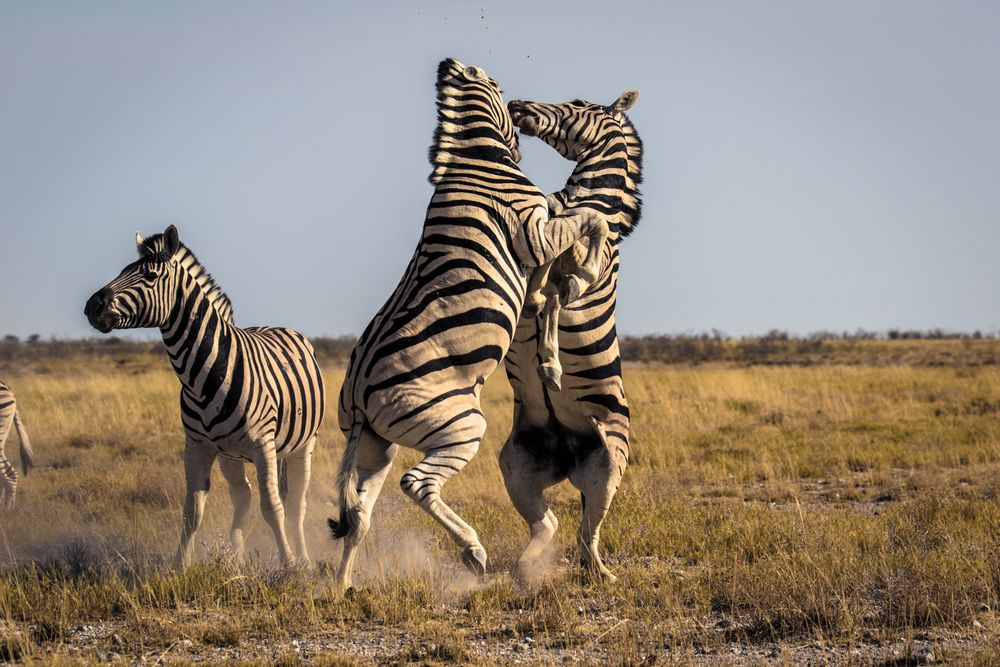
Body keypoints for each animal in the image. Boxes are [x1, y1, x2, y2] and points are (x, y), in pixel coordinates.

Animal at [84, 227, 324, 568]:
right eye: (122, 271)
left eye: (150, 276)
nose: (93, 306)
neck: (203, 376)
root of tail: (278, 325)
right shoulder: (197, 446)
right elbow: (192, 511)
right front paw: (178, 565)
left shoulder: (262, 444)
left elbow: (272, 507)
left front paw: (288, 564)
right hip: (229, 454)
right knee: (243, 496)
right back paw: (235, 557)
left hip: (303, 444)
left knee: (294, 503)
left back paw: (302, 556)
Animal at [328, 57, 608, 588]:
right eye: (501, 88)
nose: (521, 110)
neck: (476, 161)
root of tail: (355, 392)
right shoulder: (534, 229)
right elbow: (591, 222)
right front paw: (583, 274)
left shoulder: (536, 239)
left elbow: (545, 284)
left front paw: (549, 333)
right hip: (461, 424)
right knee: (417, 483)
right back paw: (473, 551)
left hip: (376, 444)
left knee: (360, 515)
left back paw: (343, 585)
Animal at [504, 90, 644, 584]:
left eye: (579, 102)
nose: (517, 104)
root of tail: (568, 455)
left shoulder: (582, 266)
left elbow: (560, 289)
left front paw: (550, 359)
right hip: (517, 465)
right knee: (549, 523)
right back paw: (525, 568)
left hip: (609, 462)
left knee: (588, 530)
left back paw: (601, 574)